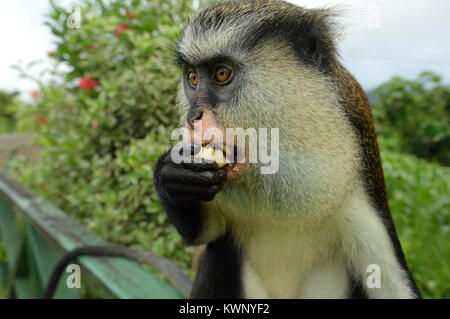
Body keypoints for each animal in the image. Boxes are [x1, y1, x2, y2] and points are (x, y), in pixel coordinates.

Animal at [154, 0, 422, 300]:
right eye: (193, 78)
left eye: (221, 74)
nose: (193, 118)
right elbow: (206, 234)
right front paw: (172, 176)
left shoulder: (360, 186)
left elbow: (392, 286)